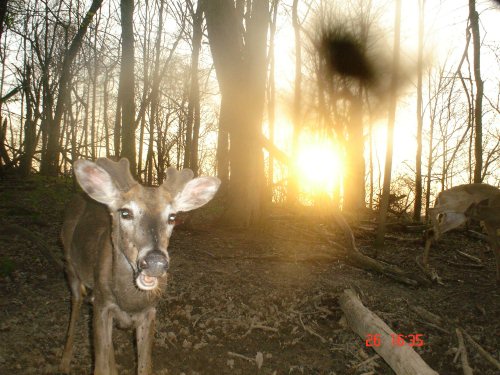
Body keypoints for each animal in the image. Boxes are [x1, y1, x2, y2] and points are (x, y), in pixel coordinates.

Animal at [59, 159, 220, 375]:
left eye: (172, 217)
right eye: (125, 212)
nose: (154, 262)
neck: (129, 301)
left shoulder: (149, 311)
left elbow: (144, 366)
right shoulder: (102, 305)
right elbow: (100, 366)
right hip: (69, 264)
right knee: (76, 300)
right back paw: (64, 362)